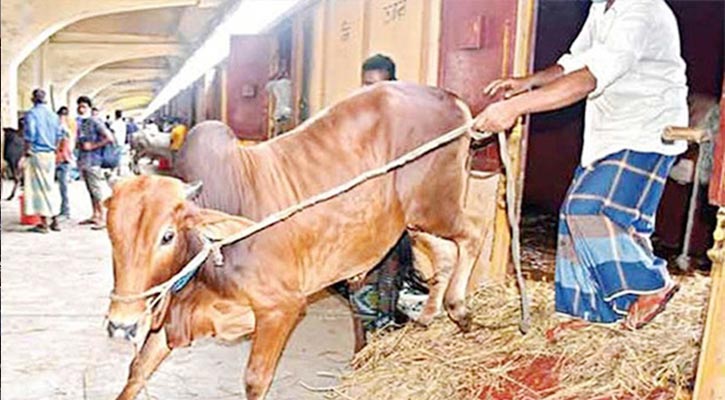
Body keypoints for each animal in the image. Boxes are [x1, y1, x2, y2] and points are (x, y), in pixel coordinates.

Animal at [105, 82, 483, 400]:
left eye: (167, 235)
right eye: (111, 234)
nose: (121, 324)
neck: (211, 256)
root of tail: (450, 98)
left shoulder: (281, 308)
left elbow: (255, 381)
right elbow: (136, 370)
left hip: (437, 205)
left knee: (475, 233)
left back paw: (458, 309)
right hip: (415, 223)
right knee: (445, 254)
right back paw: (431, 315)